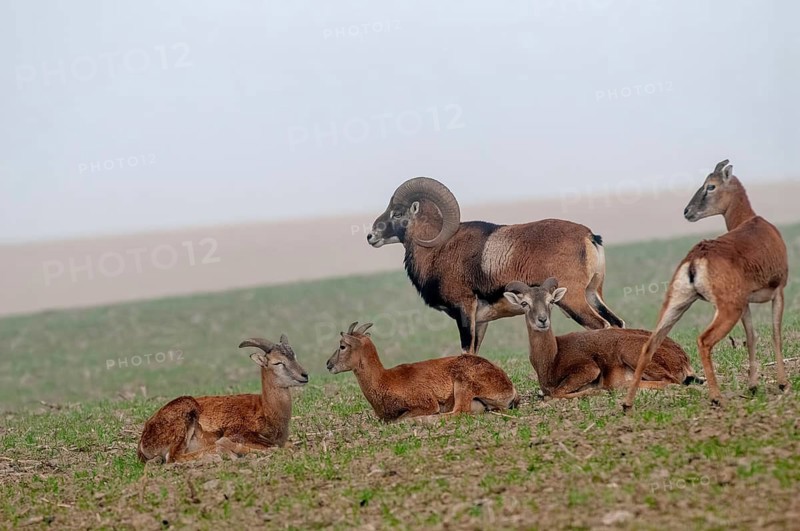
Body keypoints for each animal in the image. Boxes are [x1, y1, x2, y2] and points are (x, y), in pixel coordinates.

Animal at [137, 335, 308, 463]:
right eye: (278, 362)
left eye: (294, 356)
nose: (304, 375)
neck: (267, 410)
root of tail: (144, 440)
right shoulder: (240, 434)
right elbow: (274, 447)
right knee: (174, 457)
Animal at [325, 322, 519, 421]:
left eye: (342, 346)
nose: (328, 364)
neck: (385, 380)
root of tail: (509, 387)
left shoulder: (425, 403)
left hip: (463, 384)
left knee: (458, 412)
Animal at [367, 177, 625, 355]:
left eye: (397, 213)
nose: (370, 236)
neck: (438, 249)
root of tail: (589, 236)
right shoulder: (480, 321)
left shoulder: (464, 310)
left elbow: (466, 353)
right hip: (591, 294)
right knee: (616, 324)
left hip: (572, 300)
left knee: (602, 326)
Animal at [503, 278, 700, 398]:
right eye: (524, 303)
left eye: (551, 301)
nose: (542, 320)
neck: (552, 358)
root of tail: (682, 358)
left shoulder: (588, 369)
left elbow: (556, 394)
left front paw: (596, 391)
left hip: (631, 352)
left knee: (669, 381)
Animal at [623, 160, 789, 409]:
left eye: (710, 186)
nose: (687, 211)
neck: (754, 223)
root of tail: (696, 257)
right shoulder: (777, 293)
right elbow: (774, 334)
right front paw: (782, 384)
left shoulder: (746, 305)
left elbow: (751, 337)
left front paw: (753, 386)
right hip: (726, 311)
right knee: (703, 341)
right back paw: (716, 397)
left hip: (677, 305)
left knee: (650, 344)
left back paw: (627, 404)